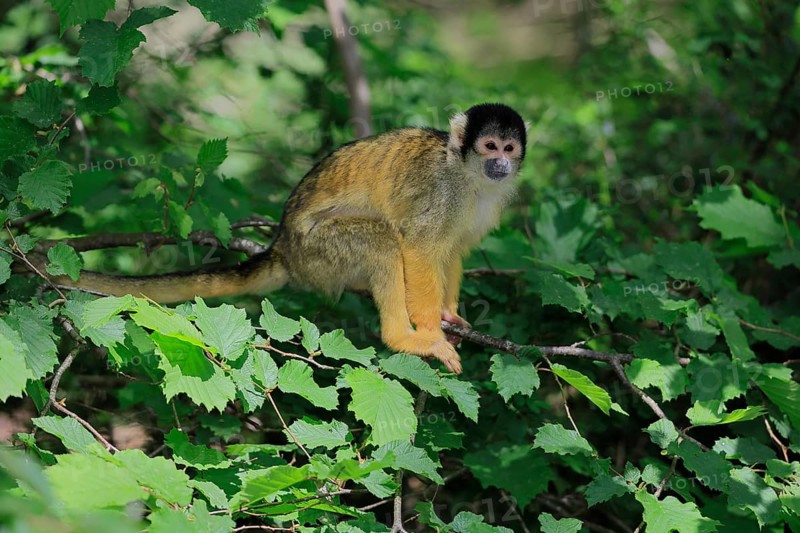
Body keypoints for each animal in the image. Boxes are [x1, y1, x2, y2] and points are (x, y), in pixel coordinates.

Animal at [44, 103, 527, 374]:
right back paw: (401, 336)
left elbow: (453, 249)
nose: (501, 164)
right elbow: (420, 247)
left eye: (509, 149)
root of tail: (283, 249)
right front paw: (430, 328)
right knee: (382, 240)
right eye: (489, 146)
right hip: (318, 252)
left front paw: (449, 313)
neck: (470, 176)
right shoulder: (443, 192)